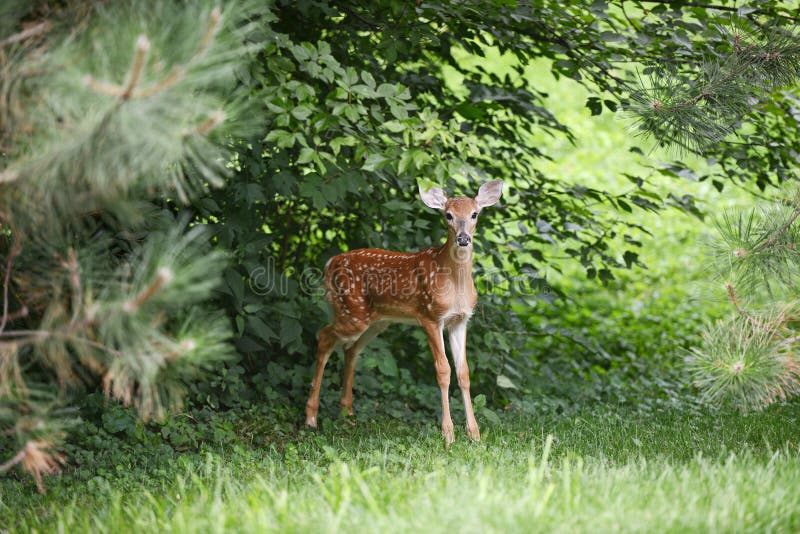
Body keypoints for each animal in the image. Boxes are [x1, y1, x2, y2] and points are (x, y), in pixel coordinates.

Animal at [304, 180, 503, 446]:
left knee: (351, 349)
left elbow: (464, 372)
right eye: (448, 215)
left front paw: (474, 434)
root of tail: (330, 262)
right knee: (325, 337)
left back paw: (348, 414)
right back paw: (311, 417)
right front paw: (448, 434)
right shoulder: (430, 316)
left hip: (377, 321)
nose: (463, 238)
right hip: (352, 312)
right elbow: (443, 370)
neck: (455, 284)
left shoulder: (460, 320)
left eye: (474, 214)